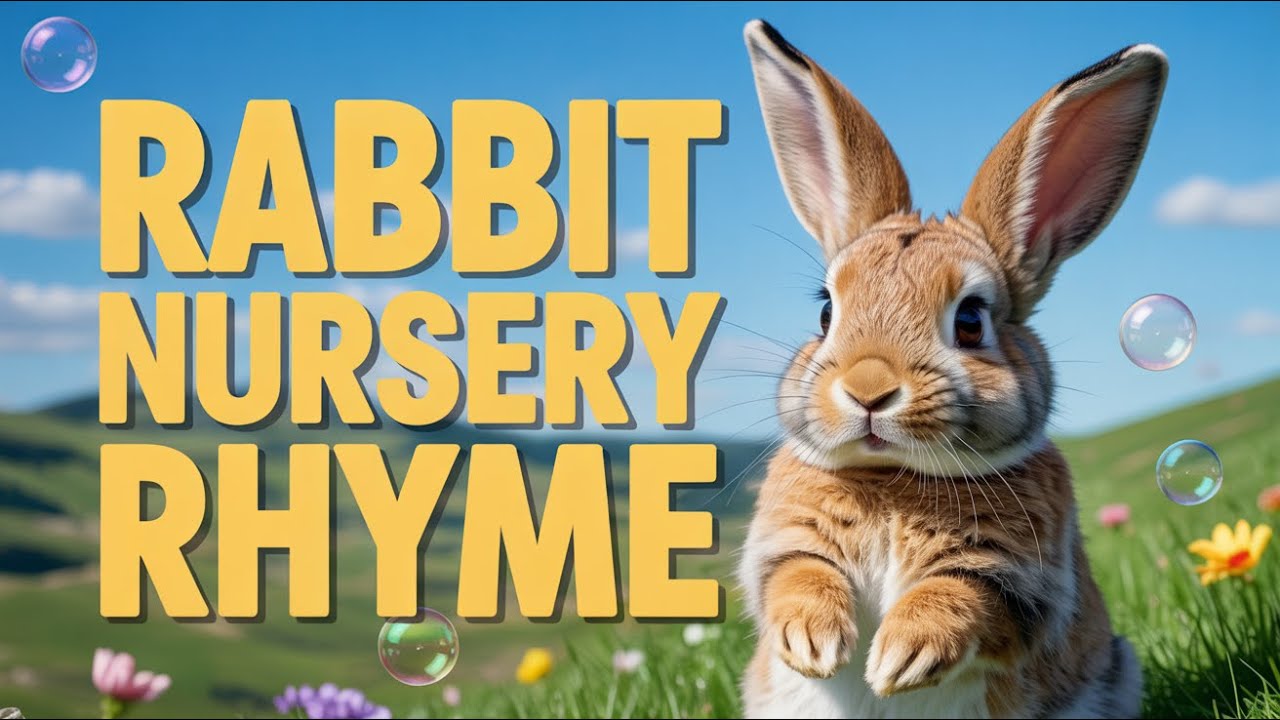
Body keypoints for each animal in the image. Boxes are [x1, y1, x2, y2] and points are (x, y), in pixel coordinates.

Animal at [738, 19, 1167, 720]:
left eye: (970, 320)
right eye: (826, 311)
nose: (867, 390)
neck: (894, 477)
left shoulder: (1013, 579)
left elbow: (960, 596)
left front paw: (900, 657)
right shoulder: (785, 541)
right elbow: (799, 575)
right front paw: (812, 640)